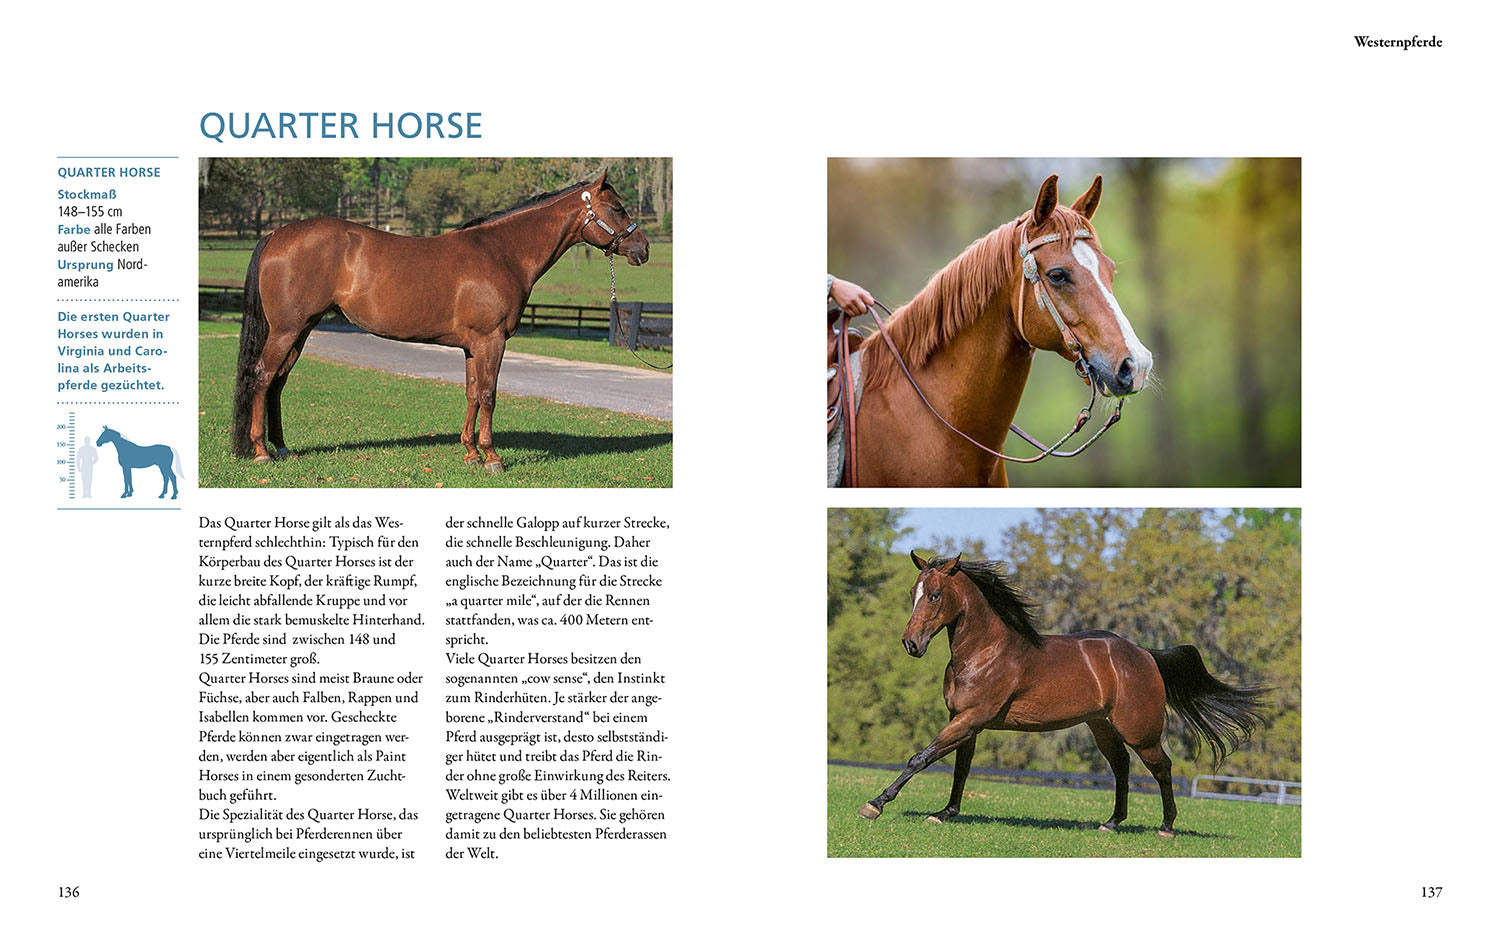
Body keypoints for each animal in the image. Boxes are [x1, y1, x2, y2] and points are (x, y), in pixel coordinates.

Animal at [230, 169, 649, 470]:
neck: (502, 252)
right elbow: (489, 394)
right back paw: (261, 451)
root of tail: (276, 234)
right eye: (618, 208)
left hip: (301, 331)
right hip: (286, 331)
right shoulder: (491, 340)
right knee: (263, 377)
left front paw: (470, 454)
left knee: (278, 383)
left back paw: (282, 448)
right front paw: (492, 458)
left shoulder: (472, 346)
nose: (642, 249)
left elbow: (471, 394)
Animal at [856, 553, 1267, 839]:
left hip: (1141, 731)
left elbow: (920, 758)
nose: (911, 644)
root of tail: (1145, 654)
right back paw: (1111, 823)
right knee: (1121, 767)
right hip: (1102, 727)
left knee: (1162, 768)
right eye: (913, 594)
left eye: (935, 595)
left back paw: (1166, 827)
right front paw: (944, 813)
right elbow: (960, 768)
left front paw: (875, 804)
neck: (986, 652)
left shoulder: (970, 718)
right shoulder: (964, 721)